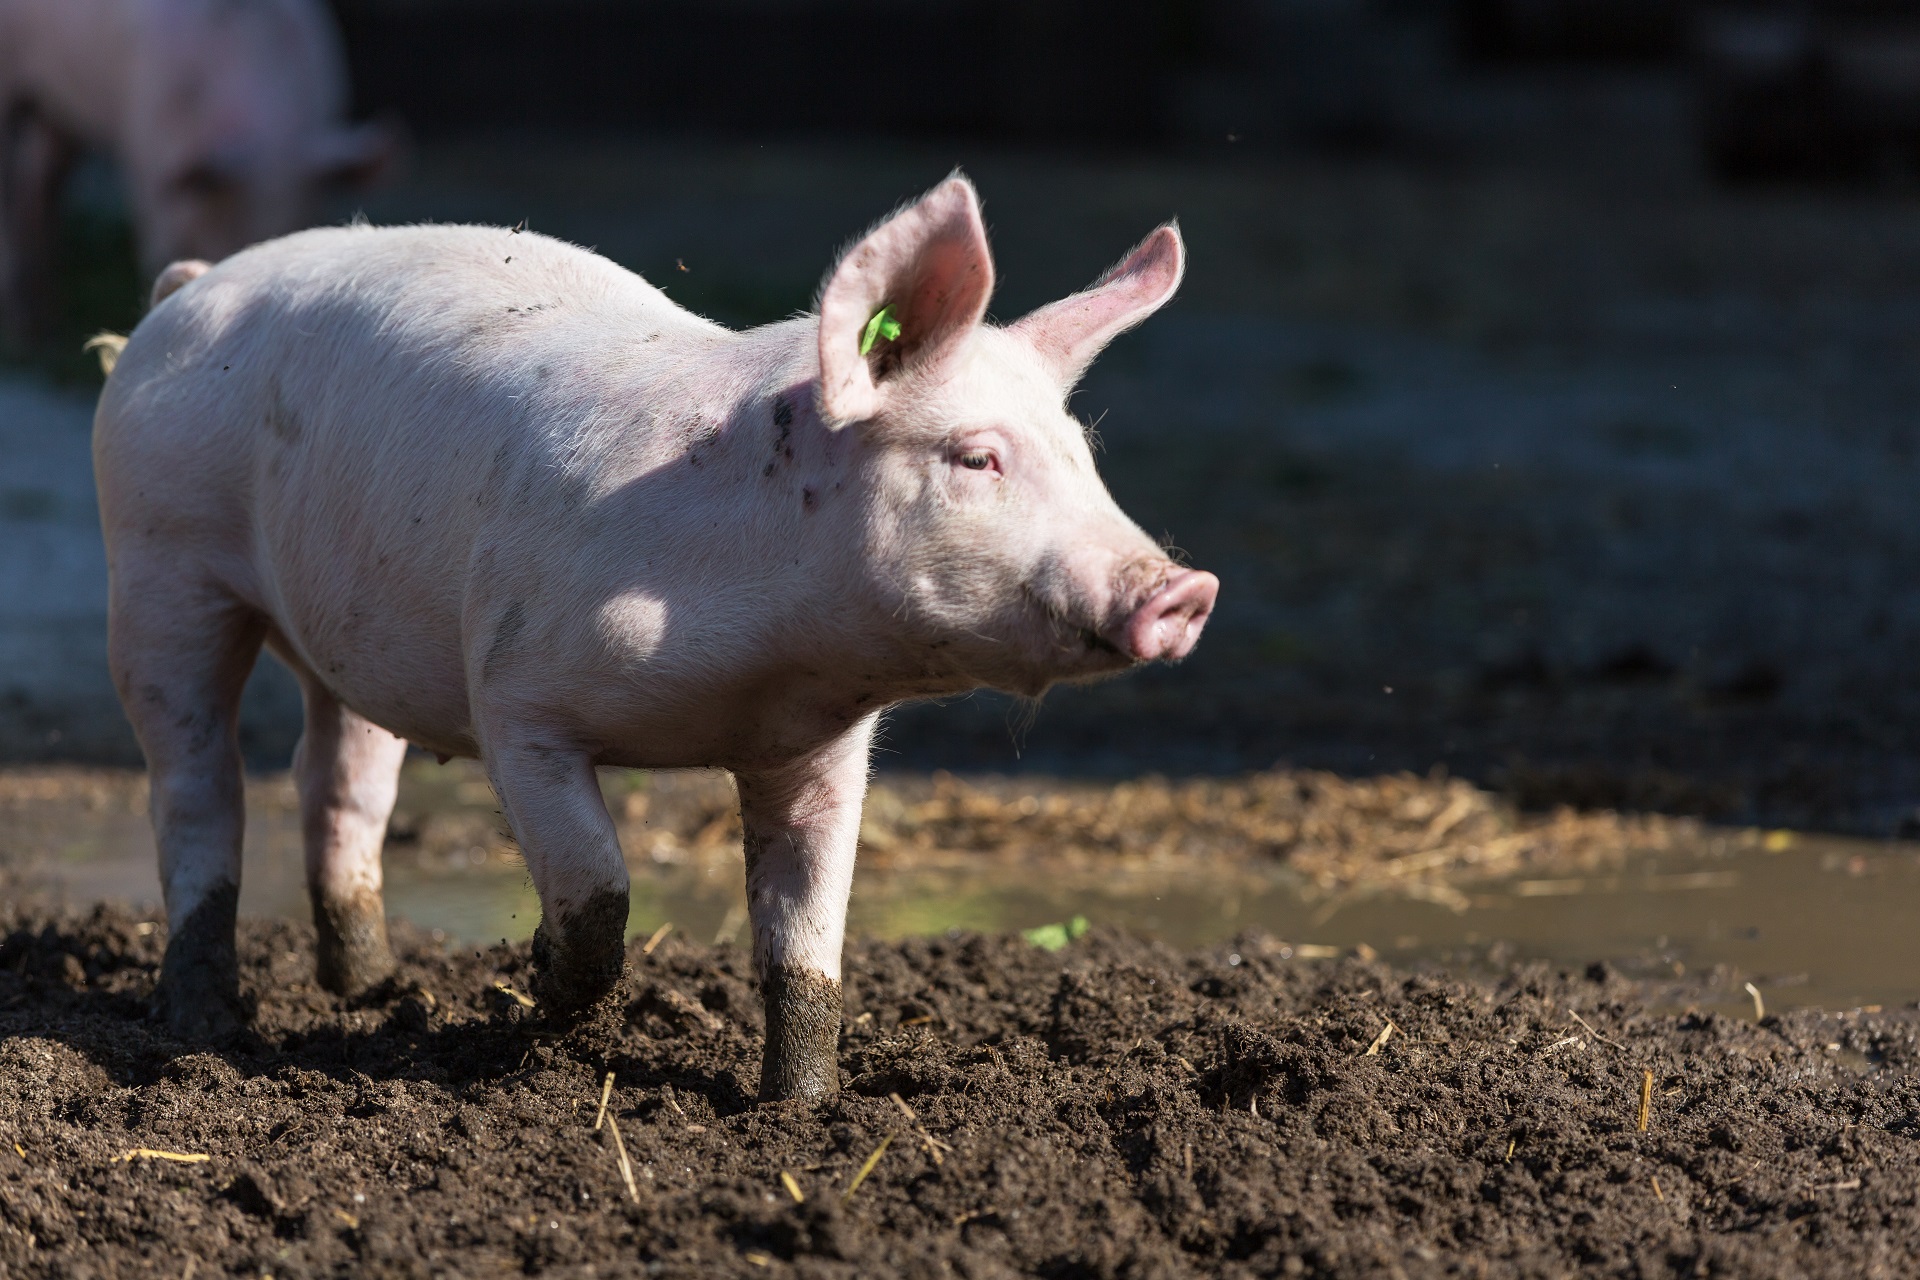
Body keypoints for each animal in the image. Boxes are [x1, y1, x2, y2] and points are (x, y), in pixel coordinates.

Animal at [0, 0, 395, 346]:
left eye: (300, 217)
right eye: (223, 215)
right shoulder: (152, 147)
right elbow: (156, 244)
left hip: (59, 110)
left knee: (41, 180)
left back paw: (47, 325)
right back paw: (22, 332)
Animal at [93, 176, 1218, 1099]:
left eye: (1083, 453)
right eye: (976, 456)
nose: (1184, 587)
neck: (766, 669)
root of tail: (187, 290)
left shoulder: (819, 748)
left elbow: (807, 935)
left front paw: (800, 1109)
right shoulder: (515, 698)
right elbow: (598, 889)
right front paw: (541, 991)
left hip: (350, 620)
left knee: (338, 779)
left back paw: (369, 991)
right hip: (157, 562)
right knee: (196, 785)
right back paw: (203, 1022)